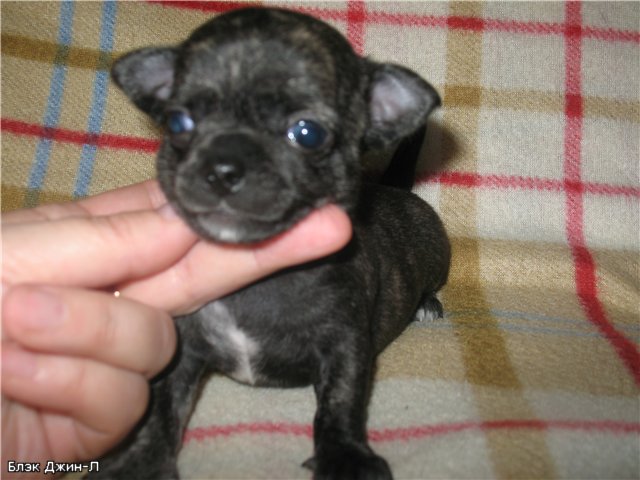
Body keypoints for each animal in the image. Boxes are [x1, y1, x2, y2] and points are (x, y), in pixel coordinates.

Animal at [93, 7, 450, 480]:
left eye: (308, 133)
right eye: (178, 123)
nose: (223, 168)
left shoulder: (345, 344)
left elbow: (340, 403)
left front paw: (346, 457)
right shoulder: (182, 346)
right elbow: (164, 407)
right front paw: (140, 461)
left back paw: (428, 304)